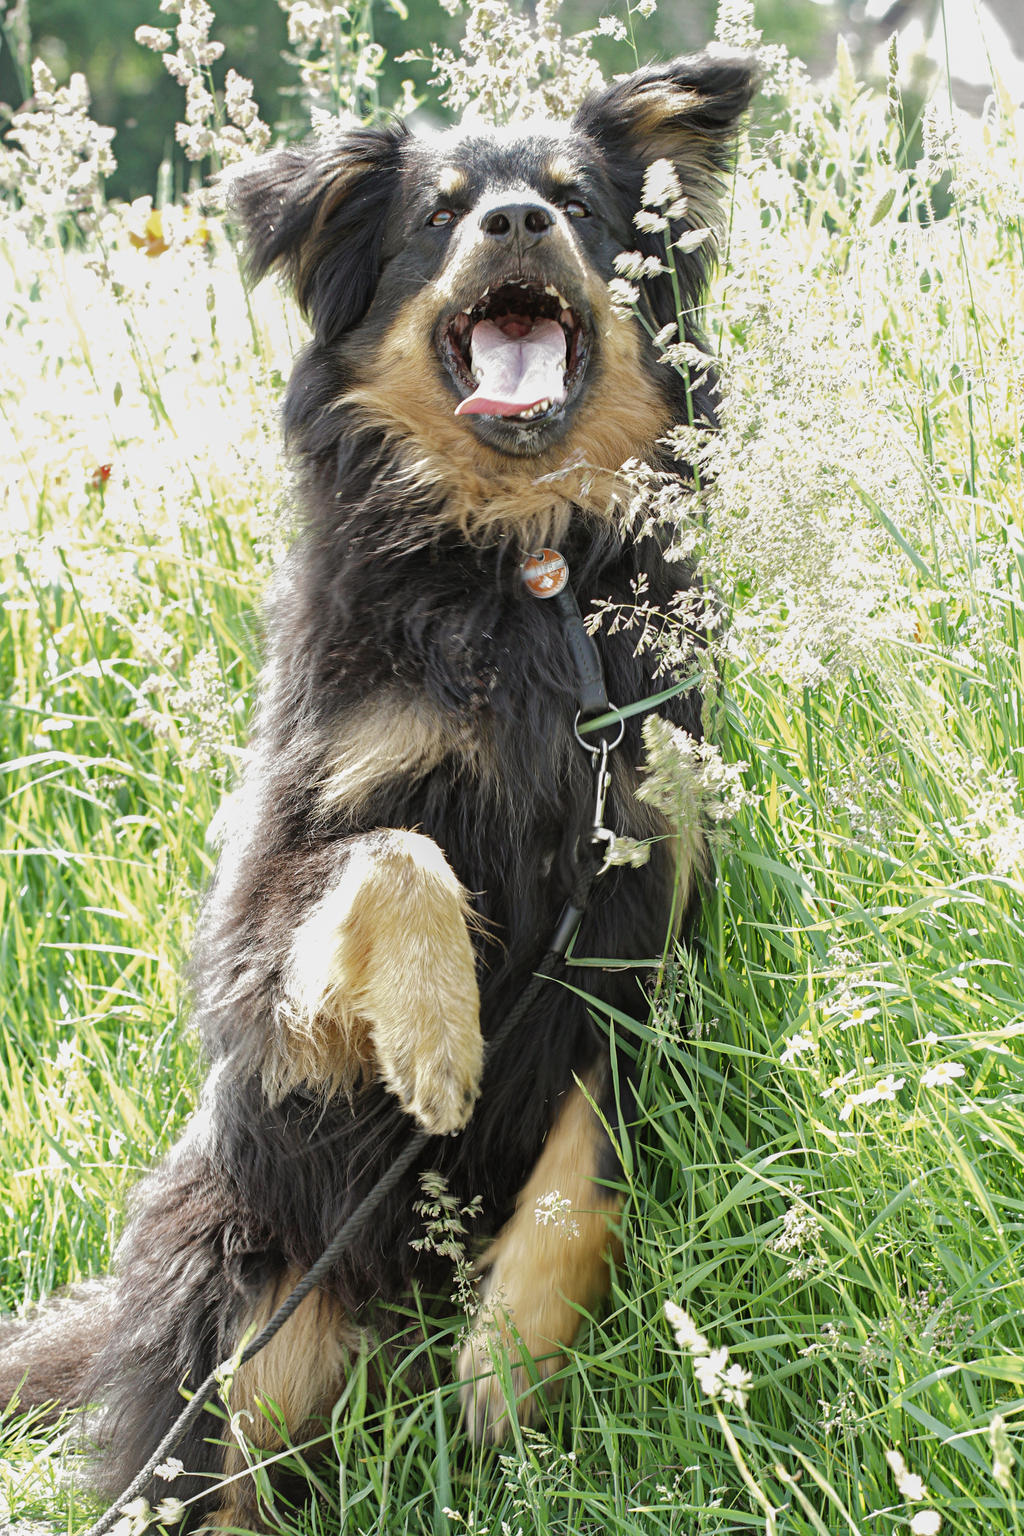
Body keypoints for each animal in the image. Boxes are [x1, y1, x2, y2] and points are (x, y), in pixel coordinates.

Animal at [2, 54, 761, 1529]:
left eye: (579, 204)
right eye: (440, 213)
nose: (517, 223)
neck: (523, 567)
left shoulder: (636, 903)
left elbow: (581, 1172)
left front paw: (508, 1356)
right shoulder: (269, 907)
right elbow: (397, 853)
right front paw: (436, 1040)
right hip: (235, 1290)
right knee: (200, 1480)